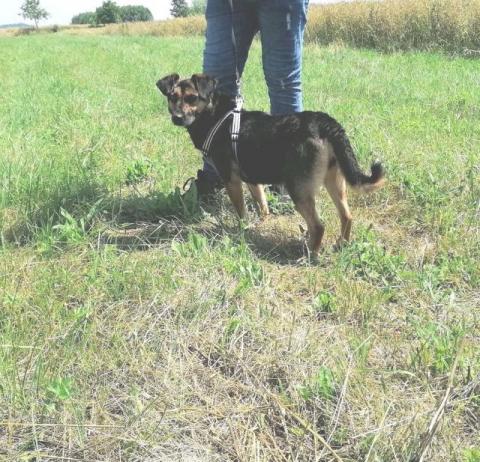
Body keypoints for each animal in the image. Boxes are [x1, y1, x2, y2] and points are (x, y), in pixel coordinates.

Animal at [157, 73, 385, 256]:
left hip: (299, 189)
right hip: (335, 180)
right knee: (347, 216)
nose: (177, 118)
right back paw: (341, 245)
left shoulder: (231, 180)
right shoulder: (251, 178)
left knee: (318, 226)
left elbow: (241, 211)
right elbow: (262, 203)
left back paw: (309, 254)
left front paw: (243, 230)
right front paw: (262, 222)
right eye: (172, 97)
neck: (215, 116)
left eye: (192, 98)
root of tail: (327, 124)